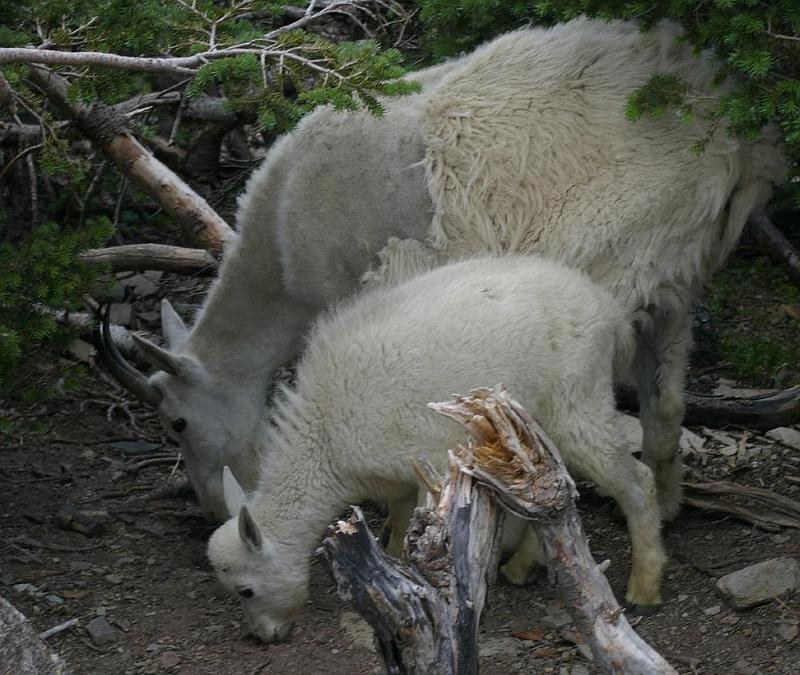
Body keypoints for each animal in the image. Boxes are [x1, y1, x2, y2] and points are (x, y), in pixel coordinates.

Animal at [101, 18, 787, 523]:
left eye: (178, 421)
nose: (215, 512)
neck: (282, 250)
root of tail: (743, 140)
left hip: (622, 250)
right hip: (677, 268)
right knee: (665, 400)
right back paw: (667, 506)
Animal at [207, 256, 666, 643]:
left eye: (245, 590)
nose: (265, 637)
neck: (324, 446)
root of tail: (612, 315)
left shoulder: (425, 461)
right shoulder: (394, 478)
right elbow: (396, 532)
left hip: (578, 396)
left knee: (636, 480)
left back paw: (645, 585)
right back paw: (523, 564)